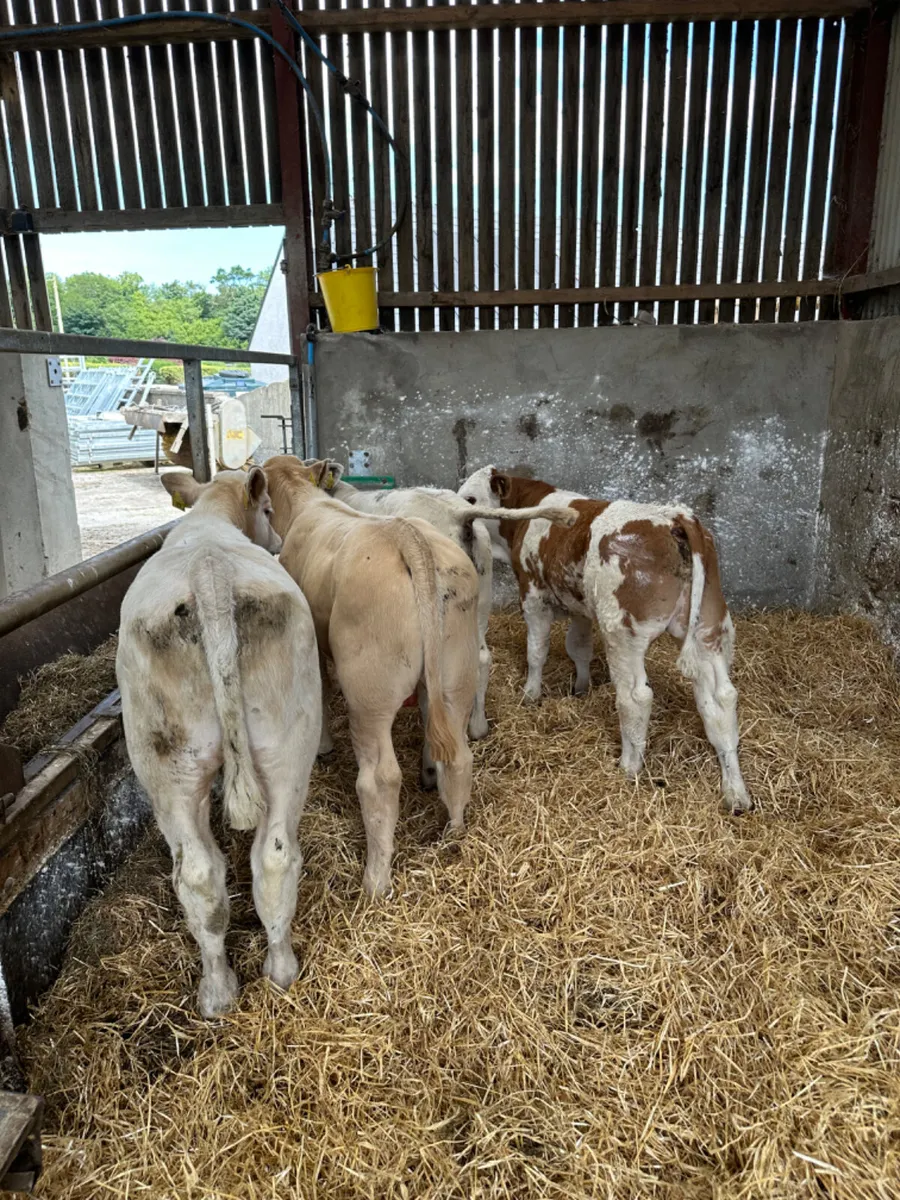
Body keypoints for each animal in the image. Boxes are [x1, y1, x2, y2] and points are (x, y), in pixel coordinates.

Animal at [116, 467, 321, 1017]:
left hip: (168, 767)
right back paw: (270, 975)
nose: (276, 541)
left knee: (203, 871)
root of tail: (210, 573)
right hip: (281, 746)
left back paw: (219, 992)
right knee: (261, 859)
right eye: (268, 510)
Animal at [263, 454, 481, 898]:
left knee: (379, 780)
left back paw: (375, 881)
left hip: (369, 692)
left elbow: (321, 691)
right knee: (459, 755)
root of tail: (405, 535)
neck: (309, 503)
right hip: (455, 672)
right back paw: (453, 835)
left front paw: (324, 746)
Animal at [458, 466, 751, 815]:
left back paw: (629, 766)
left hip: (622, 632)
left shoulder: (532, 595)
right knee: (721, 699)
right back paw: (735, 792)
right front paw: (581, 687)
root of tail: (674, 516)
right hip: (709, 629)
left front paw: (531, 694)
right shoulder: (580, 606)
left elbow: (536, 650)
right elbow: (579, 647)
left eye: (470, 499)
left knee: (636, 697)